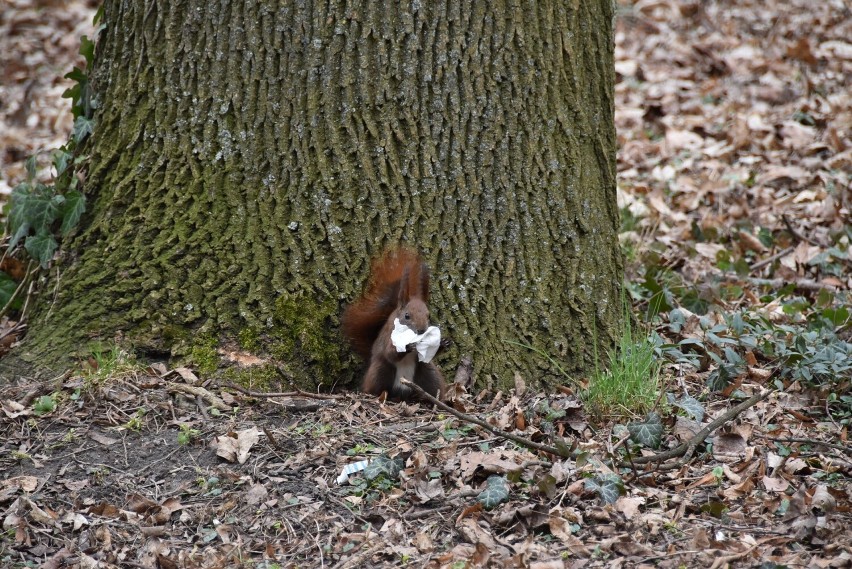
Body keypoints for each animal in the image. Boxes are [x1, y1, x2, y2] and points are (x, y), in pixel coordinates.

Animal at [340, 247, 446, 400]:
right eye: (407, 316)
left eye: (429, 315)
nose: (421, 330)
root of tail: (404, 391)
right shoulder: (389, 337)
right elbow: (390, 352)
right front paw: (407, 346)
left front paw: (443, 343)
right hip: (380, 371)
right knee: (374, 386)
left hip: (429, 373)